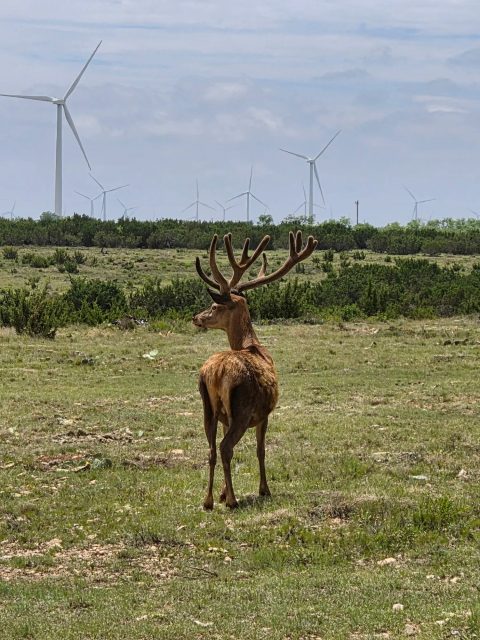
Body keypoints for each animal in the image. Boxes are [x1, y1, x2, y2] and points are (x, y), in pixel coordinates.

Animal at [193, 230, 318, 509]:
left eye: (214, 307)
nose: (196, 317)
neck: (254, 346)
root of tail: (217, 372)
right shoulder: (265, 413)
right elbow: (261, 450)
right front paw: (264, 489)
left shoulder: (228, 416)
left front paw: (222, 493)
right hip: (242, 408)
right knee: (226, 447)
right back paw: (233, 501)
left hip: (208, 406)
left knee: (212, 448)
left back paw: (208, 500)